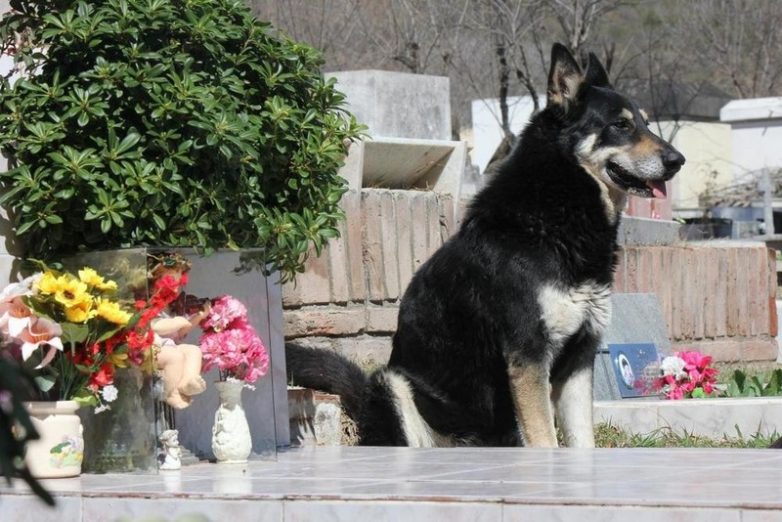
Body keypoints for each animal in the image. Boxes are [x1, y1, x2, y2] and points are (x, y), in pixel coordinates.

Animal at [288, 42, 688, 444]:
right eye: (621, 125)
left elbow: (582, 443)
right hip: (395, 386)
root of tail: (363, 401)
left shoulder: (579, 359)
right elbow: (545, 439)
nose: (678, 160)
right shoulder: (529, 357)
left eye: (646, 123)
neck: (556, 213)